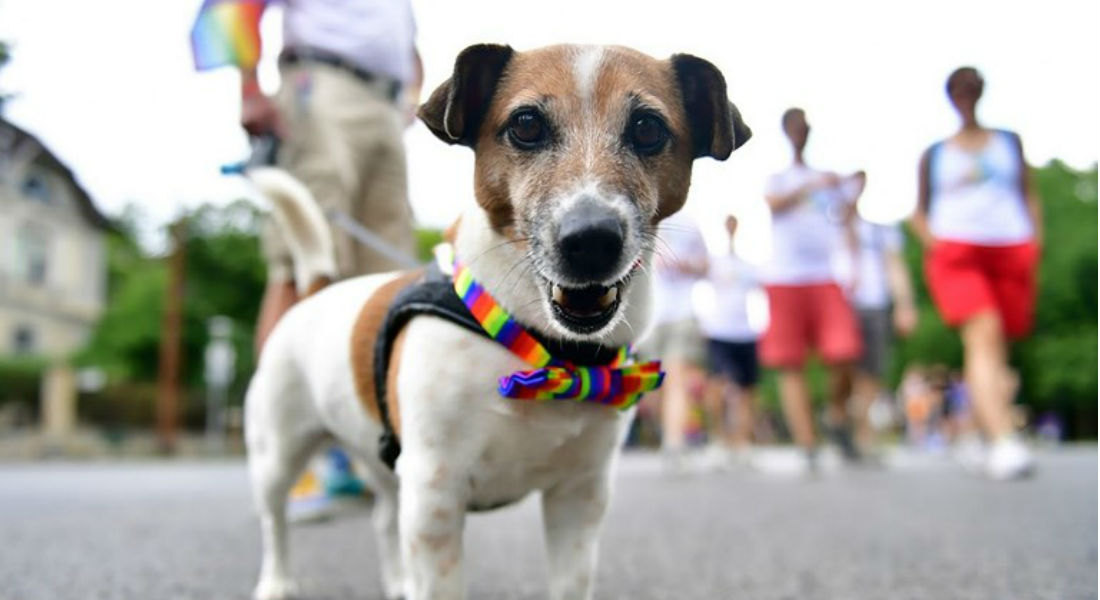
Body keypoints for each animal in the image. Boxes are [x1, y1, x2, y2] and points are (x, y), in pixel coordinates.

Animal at [246, 43, 752, 598]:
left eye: (647, 128)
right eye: (526, 124)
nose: (591, 240)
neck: (540, 349)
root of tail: (320, 289)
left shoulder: (579, 498)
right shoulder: (434, 496)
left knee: (382, 518)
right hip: (278, 454)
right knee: (273, 519)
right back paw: (277, 581)